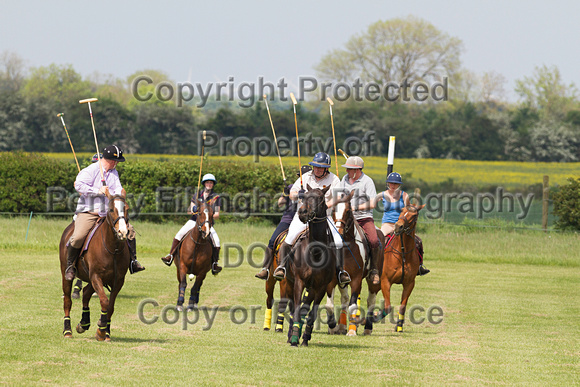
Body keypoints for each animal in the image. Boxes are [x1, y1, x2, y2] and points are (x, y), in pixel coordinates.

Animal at [59, 196, 131, 342]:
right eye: (111, 209)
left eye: (126, 208)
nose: (123, 232)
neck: (113, 249)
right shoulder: (96, 276)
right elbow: (104, 301)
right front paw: (101, 330)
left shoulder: (118, 281)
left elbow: (110, 306)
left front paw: (106, 332)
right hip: (67, 275)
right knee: (67, 301)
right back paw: (67, 330)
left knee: (86, 293)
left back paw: (84, 323)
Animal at [284, 186, 338, 348]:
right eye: (304, 195)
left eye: (320, 198)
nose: (302, 212)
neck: (316, 253)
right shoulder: (299, 281)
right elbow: (296, 310)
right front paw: (294, 339)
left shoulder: (321, 287)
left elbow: (311, 313)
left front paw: (305, 338)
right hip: (289, 282)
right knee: (293, 307)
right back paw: (291, 335)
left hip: (312, 288)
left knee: (305, 307)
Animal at [326, 192, 386, 338]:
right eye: (333, 210)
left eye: (348, 211)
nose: (339, 232)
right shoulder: (334, 280)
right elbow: (330, 305)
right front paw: (333, 327)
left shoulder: (356, 279)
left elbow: (353, 305)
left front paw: (352, 330)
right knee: (344, 299)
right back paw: (342, 327)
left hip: (373, 280)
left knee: (371, 301)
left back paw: (367, 328)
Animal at [362, 205, 426, 334]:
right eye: (402, 211)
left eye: (414, 215)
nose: (398, 226)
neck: (402, 253)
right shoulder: (385, 281)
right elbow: (388, 306)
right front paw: (375, 317)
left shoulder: (409, 283)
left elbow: (403, 306)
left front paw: (399, 326)